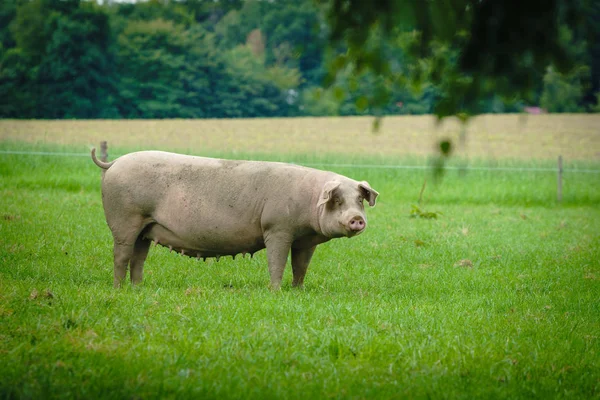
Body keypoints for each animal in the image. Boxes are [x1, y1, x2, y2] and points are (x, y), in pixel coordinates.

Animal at [91, 148, 378, 290]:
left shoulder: (305, 241)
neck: (309, 200)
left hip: (146, 228)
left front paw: (298, 290)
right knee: (122, 254)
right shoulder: (277, 228)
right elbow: (277, 262)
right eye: (337, 200)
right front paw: (275, 291)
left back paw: (138, 288)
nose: (357, 219)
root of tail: (113, 163)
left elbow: (301, 266)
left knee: (139, 258)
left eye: (359, 200)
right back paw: (118, 289)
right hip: (125, 219)